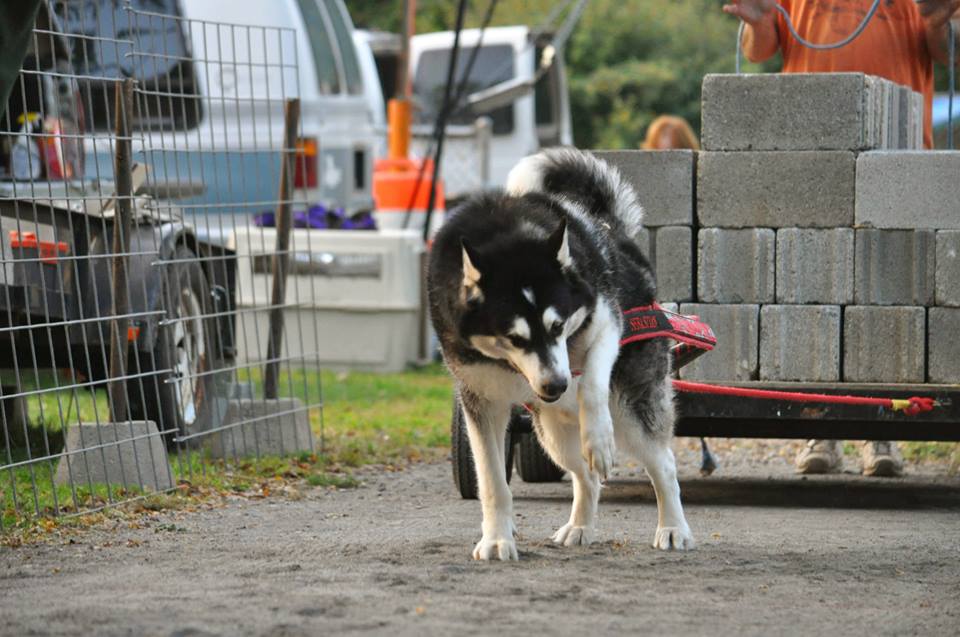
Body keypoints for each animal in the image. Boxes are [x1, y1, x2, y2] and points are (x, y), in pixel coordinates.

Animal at [428, 147, 688, 560]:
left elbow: (593, 384)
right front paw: (497, 538)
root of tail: (612, 231)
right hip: (551, 435)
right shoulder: (481, 401)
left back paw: (673, 528)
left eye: (557, 326)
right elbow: (492, 481)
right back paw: (580, 526)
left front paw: (598, 436)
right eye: (513, 337)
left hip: (631, 410)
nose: (556, 386)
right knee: (586, 476)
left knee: (662, 464)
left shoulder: (605, 321)